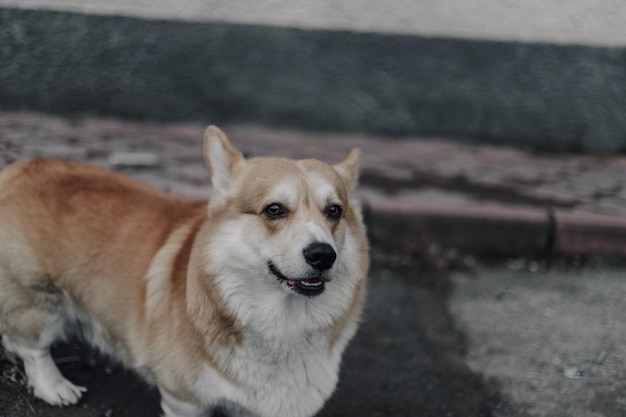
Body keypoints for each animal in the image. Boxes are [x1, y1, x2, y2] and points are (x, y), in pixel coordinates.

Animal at [0, 127, 366, 416]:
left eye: (334, 211)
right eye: (274, 210)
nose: (323, 255)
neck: (282, 323)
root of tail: (16, 169)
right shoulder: (184, 399)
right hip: (35, 298)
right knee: (32, 347)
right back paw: (56, 387)